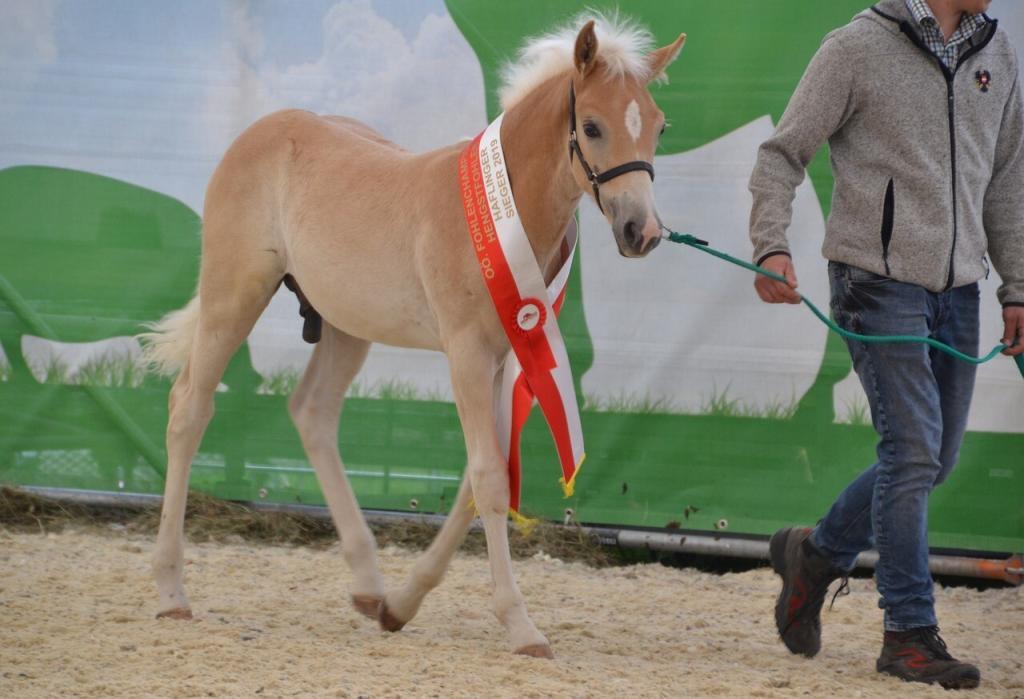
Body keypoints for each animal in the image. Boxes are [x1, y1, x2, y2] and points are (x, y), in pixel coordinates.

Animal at [144, 16, 684, 659]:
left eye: (658, 125)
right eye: (594, 125)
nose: (641, 231)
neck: (505, 209)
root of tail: (261, 131)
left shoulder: (506, 357)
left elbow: (478, 480)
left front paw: (402, 605)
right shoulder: (467, 355)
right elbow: (490, 480)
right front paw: (521, 625)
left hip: (346, 325)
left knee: (311, 412)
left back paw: (370, 586)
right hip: (235, 294)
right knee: (188, 409)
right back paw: (171, 592)